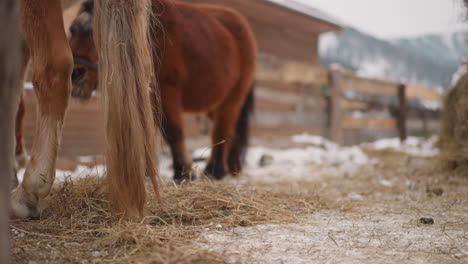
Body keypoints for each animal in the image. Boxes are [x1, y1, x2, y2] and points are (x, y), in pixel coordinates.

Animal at [70, 0, 256, 182]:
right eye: (72, 30)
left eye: (97, 35)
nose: (75, 74)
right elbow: (143, 134)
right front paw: (145, 173)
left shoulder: (167, 95)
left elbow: (174, 133)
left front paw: (183, 172)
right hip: (213, 104)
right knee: (232, 132)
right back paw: (232, 168)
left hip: (231, 100)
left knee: (222, 131)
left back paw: (214, 171)